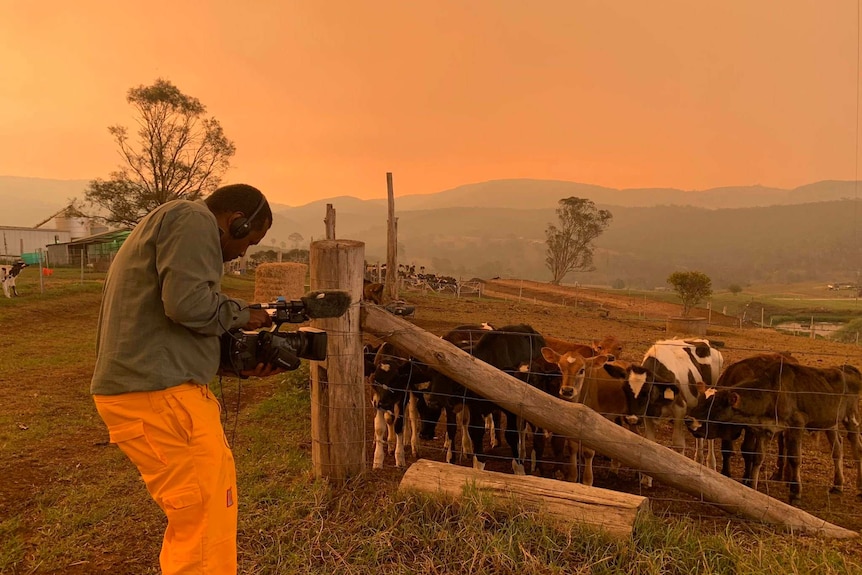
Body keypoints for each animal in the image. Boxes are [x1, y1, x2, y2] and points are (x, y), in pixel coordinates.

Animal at [688, 362, 862, 506]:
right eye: (702, 400)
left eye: (715, 406)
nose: (689, 420)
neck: (773, 393)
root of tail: (849, 369)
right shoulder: (764, 431)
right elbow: (757, 458)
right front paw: (752, 487)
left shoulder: (796, 426)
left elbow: (794, 459)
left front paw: (795, 494)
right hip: (830, 423)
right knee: (837, 448)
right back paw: (838, 485)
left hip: (851, 418)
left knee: (857, 447)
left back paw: (859, 487)